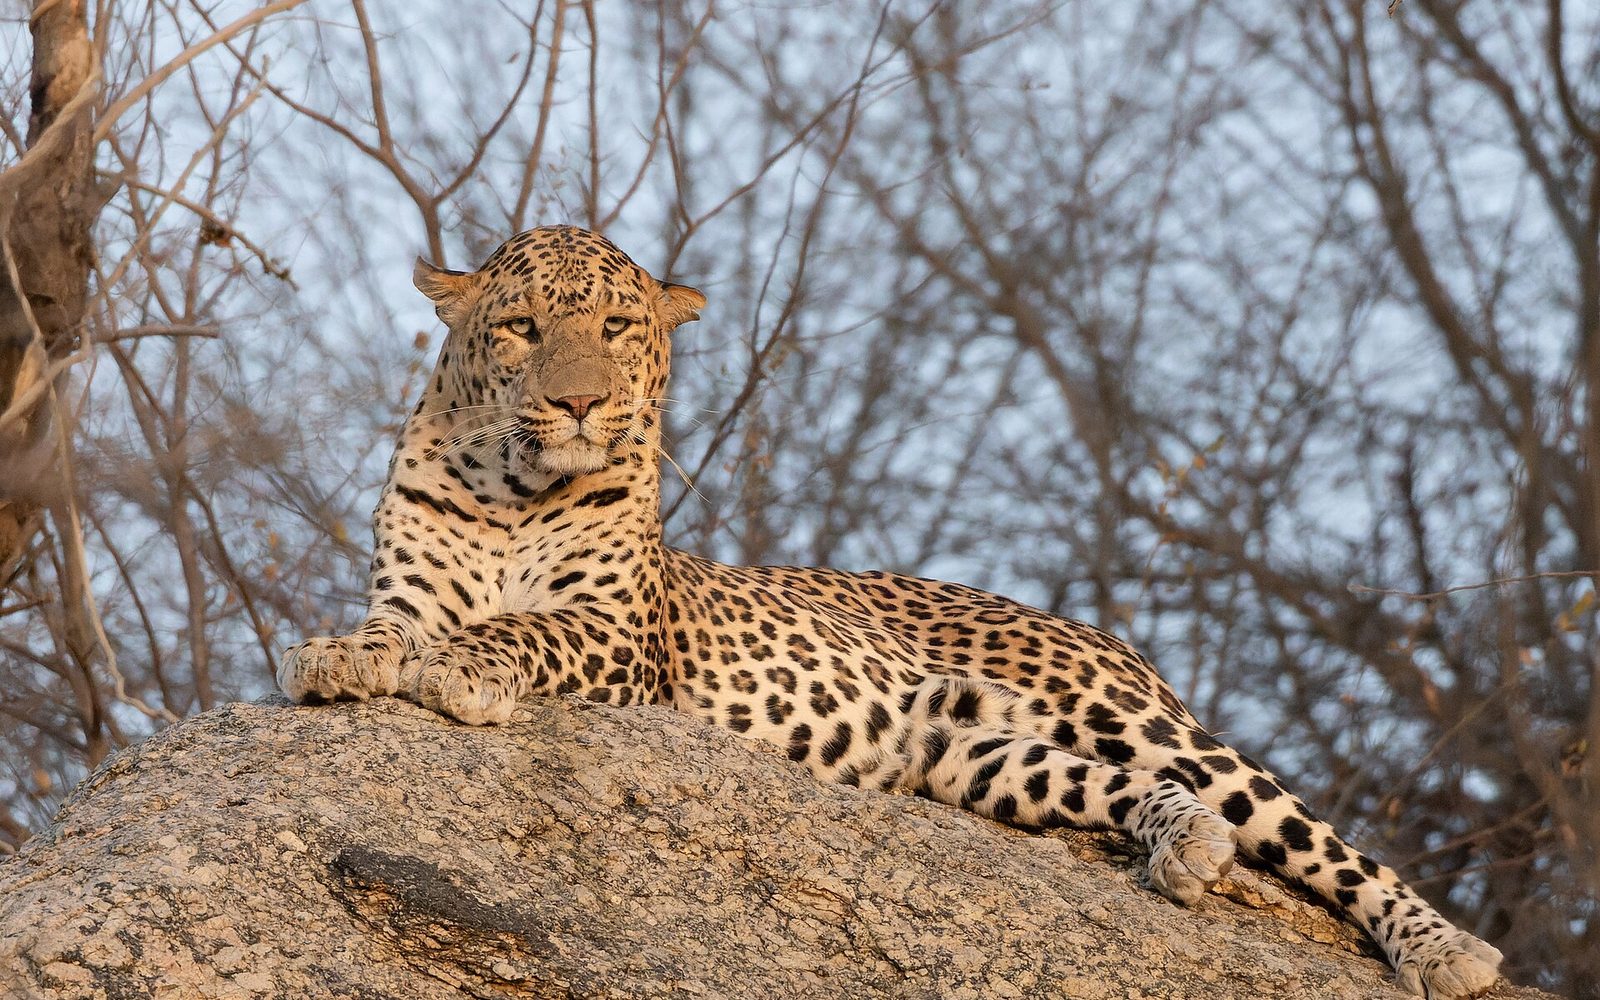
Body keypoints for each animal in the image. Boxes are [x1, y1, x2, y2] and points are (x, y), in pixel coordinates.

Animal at [278, 224, 1504, 999]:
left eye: (620, 328)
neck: (510, 488)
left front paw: (460, 667)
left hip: (1137, 718)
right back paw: (1184, 848)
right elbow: (391, 627)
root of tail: (1095, 631)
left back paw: (1443, 950)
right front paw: (338, 656)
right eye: (524, 329)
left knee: (1324, 842)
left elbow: (518, 627)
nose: (579, 403)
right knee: (1127, 792)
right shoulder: (410, 585)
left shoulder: (620, 638)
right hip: (972, 755)